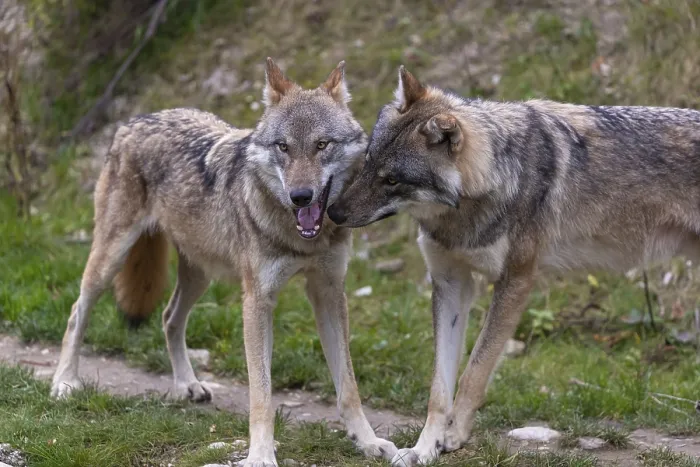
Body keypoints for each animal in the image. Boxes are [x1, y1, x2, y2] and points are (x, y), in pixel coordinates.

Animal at [50, 58, 398, 466]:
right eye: (283, 147)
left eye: (322, 145)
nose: (300, 196)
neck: (302, 238)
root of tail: (134, 120)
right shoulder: (258, 301)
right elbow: (261, 393)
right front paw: (261, 454)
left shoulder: (329, 293)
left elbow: (348, 387)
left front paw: (368, 442)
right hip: (111, 259)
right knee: (77, 311)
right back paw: (64, 382)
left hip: (200, 275)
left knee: (169, 318)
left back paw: (187, 384)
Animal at [327, 66, 700, 466]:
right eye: (367, 162)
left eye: (392, 179)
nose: (332, 213)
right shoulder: (451, 285)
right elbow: (439, 388)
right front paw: (425, 448)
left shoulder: (516, 281)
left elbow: (475, 371)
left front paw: (453, 437)